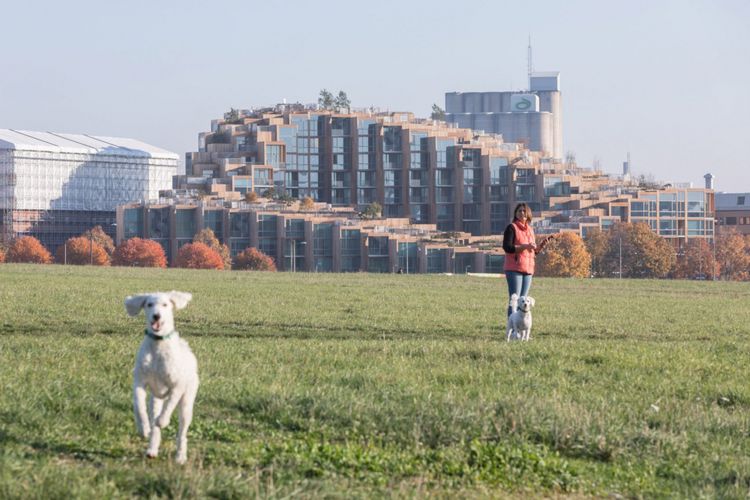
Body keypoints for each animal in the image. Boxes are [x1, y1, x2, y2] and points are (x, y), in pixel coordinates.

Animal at [126, 290, 198, 464]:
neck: (158, 345)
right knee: (155, 428)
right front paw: (143, 428)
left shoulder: (177, 386)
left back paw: (180, 456)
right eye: (149, 304)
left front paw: (163, 420)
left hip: (187, 403)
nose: (156, 316)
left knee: (182, 433)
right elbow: (138, 405)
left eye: (165, 304)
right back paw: (152, 448)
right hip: (155, 399)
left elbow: (170, 405)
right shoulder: (139, 382)